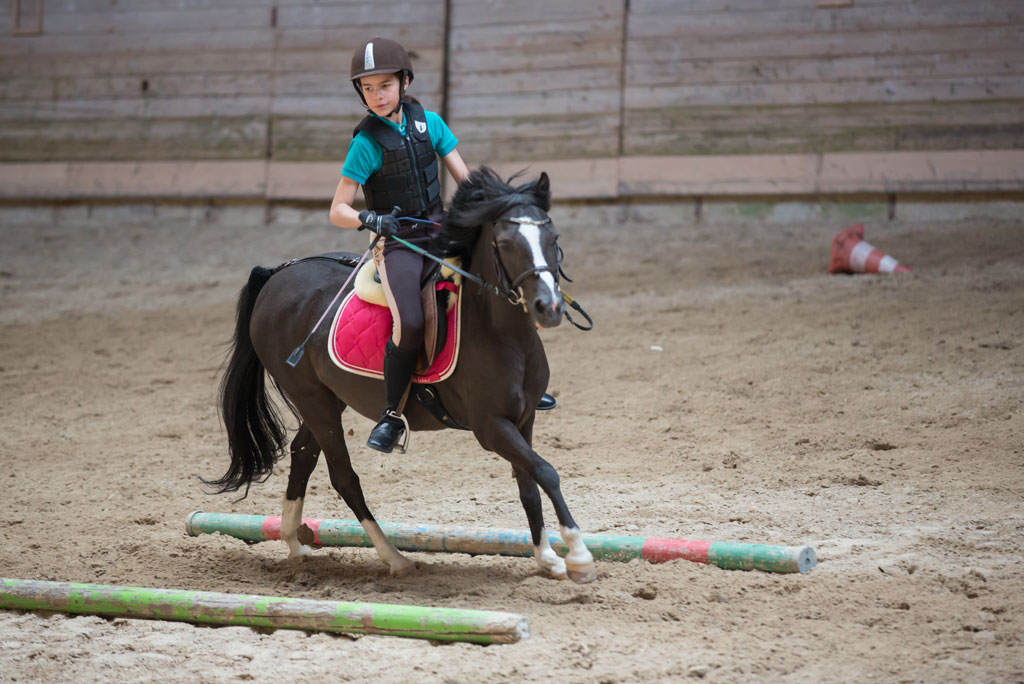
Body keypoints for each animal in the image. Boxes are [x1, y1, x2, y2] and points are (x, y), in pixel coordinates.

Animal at [211, 165, 598, 581]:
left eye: (553, 238)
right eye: (507, 243)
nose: (550, 308)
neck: (504, 335)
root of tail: (278, 275)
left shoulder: (523, 419)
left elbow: (528, 481)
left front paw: (547, 557)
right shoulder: (491, 426)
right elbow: (545, 471)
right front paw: (578, 555)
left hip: (327, 399)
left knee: (303, 455)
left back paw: (295, 544)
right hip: (312, 399)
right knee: (343, 476)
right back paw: (394, 557)